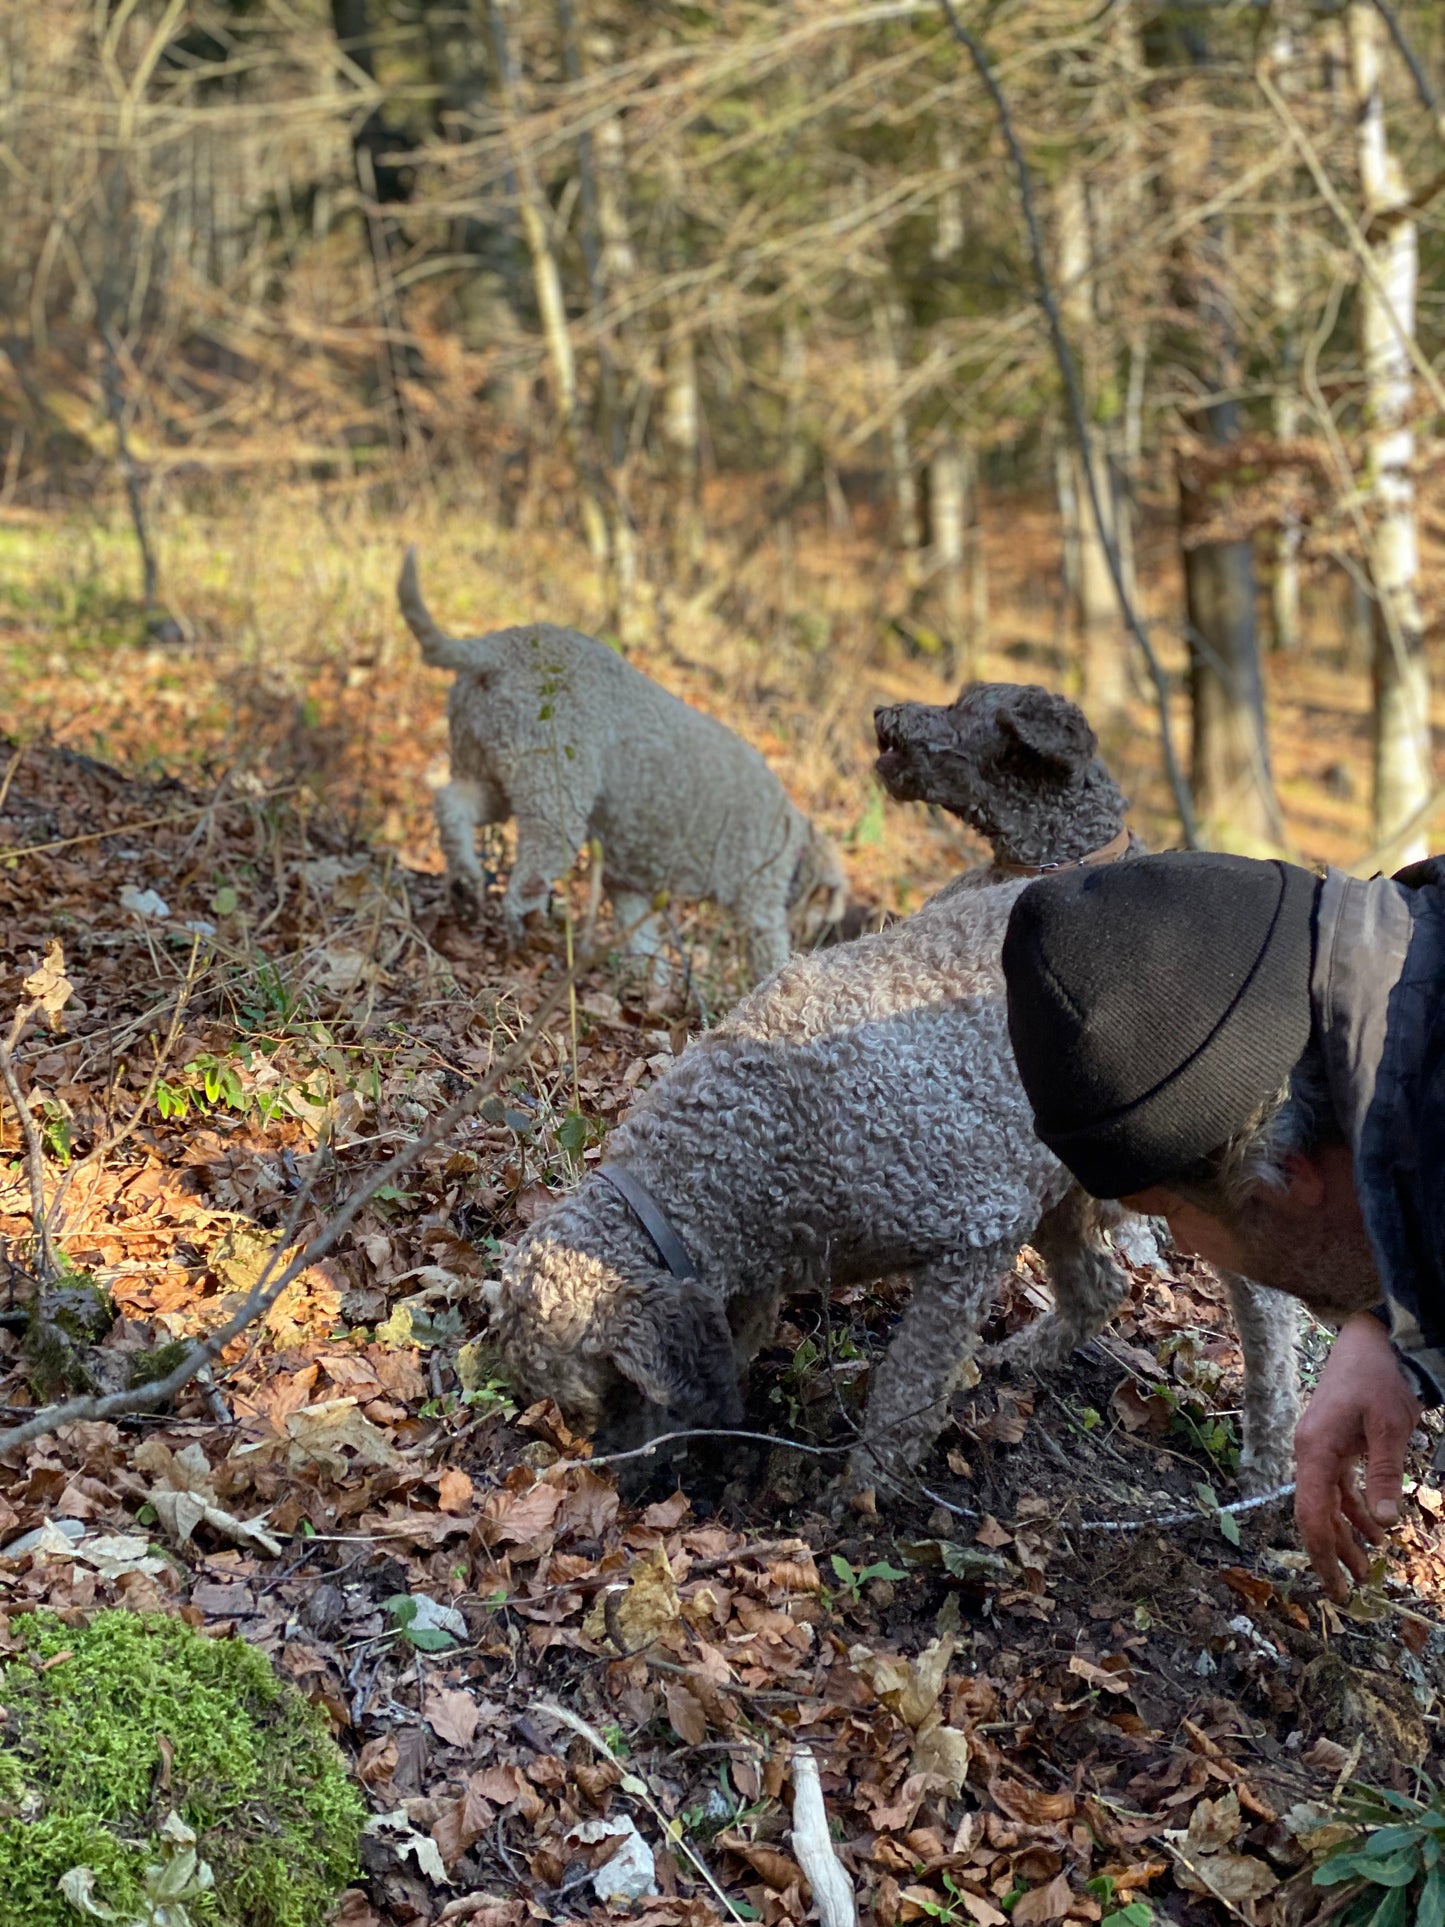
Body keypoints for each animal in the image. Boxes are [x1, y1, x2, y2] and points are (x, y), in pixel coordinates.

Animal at [396, 554, 847, 978]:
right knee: (523, 888)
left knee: (450, 807)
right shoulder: (760, 907)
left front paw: (652, 988)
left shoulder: (628, 883)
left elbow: (646, 947)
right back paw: (529, 942)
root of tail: (498, 651)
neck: (795, 841)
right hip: (555, 800)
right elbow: (769, 956)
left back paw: (466, 881)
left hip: (495, 776)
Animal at [497, 686, 1302, 1495]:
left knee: (1267, 1320)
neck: (757, 1136)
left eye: (609, 1389)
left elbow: (905, 1390)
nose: (617, 1484)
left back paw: (1268, 1464)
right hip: (1059, 1171)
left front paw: (862, 1491)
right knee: (1100, 1285)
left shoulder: (974, 1236)